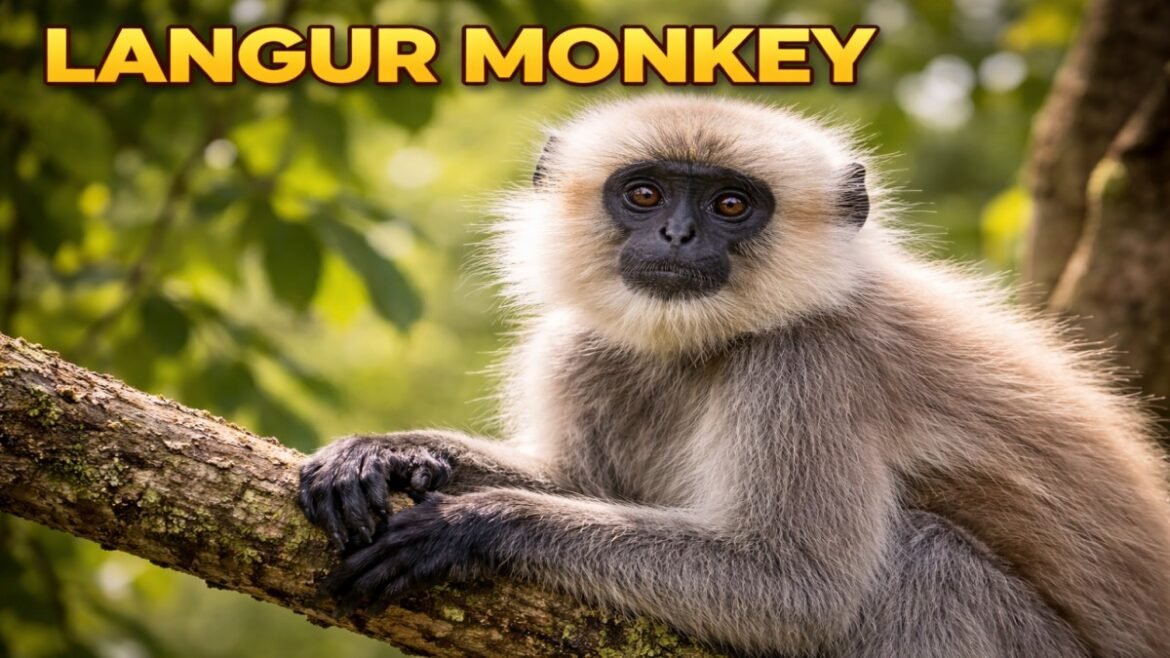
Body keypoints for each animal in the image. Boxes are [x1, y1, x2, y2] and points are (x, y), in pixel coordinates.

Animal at [298, 95, 1170, 657]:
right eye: (645, 193)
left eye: (729, 205)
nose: (677, 236)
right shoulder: (582, 348)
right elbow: (576, 478)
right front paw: (388, 454)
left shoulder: (811, 364)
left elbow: (798, 587)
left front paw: (472, 523)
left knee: (929, 561)